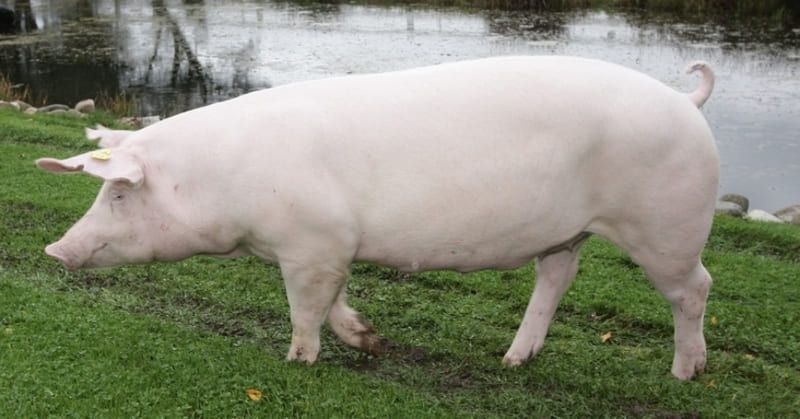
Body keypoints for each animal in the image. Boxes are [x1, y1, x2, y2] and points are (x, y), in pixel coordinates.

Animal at [36, 56, 718, 380]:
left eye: (118, 195)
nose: (55, 250)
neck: (223, 182)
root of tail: (687, 101)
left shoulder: (311, 245)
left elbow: (305, 309)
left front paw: (297, 362)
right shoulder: (330, 247)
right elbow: (336, 300)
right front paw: (370, 340)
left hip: (667, 224)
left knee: (695, 289)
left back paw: (686, 373)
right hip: (567, 232)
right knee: (556, 278)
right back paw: (512, 361)